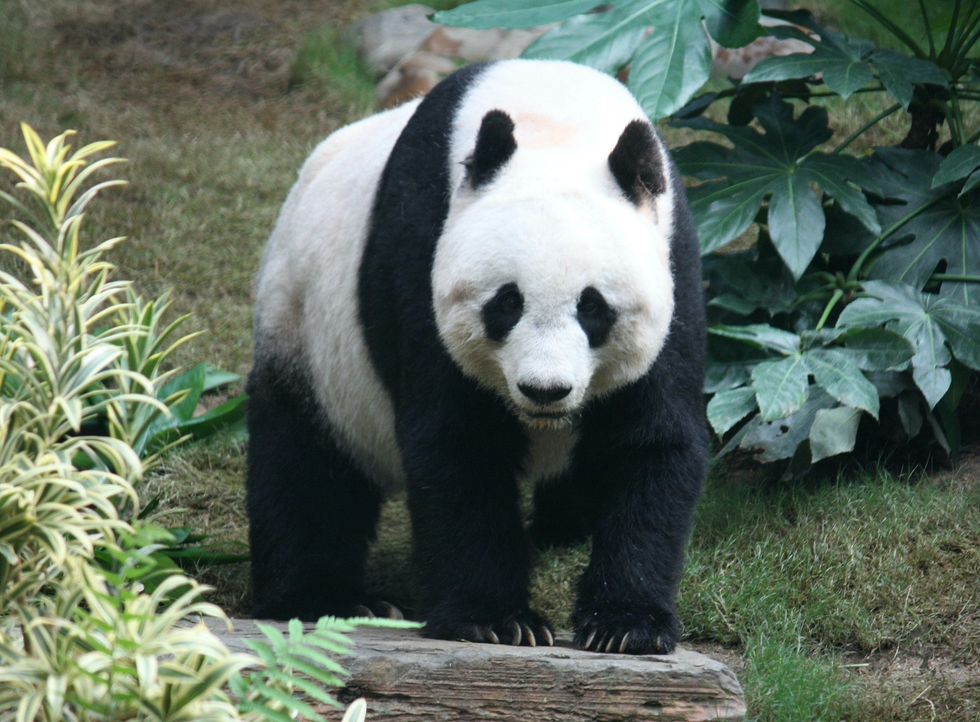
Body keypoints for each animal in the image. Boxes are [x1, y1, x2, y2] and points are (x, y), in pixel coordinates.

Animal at [246, 59, 708, 655]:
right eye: (507, 303)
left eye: (593, 308)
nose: (545, 390)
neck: (554, 119)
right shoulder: (421, 248)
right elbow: (459, 444)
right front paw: (497, 621)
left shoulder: (674, 263)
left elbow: (649, 441)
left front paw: (625, 625)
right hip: (305, 329)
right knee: (305, 465)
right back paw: (326, 598)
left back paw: (561, 530)